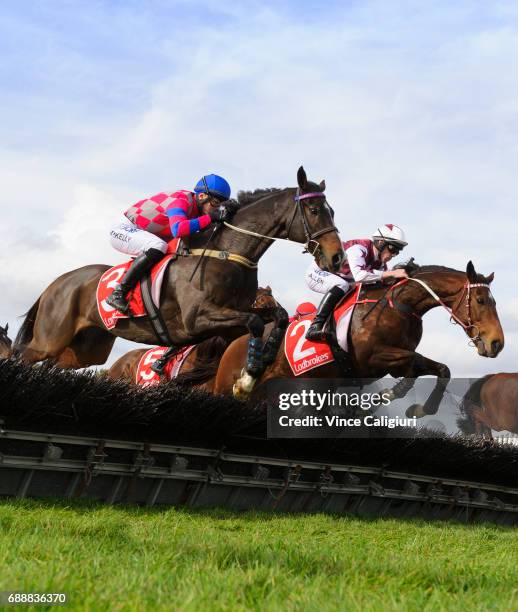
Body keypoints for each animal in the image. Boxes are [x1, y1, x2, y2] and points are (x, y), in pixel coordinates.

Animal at [13, 166, 346, 368]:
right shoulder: (197, 319)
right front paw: (252, 366)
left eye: (331, 210)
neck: (226, 253)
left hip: (83, 350)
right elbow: (253, 322)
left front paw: (265, 354)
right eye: (314, 210)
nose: (336, 258)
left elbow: (277, 316)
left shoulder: (236, 316)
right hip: (48, 340)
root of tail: (57, 283)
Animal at [211, 260, 504, 418]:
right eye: (480, 300)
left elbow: (441, 370)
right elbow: (413, 363)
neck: (400, 305)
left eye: (494, 301)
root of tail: (235, 344)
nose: (497, 343)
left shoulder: (393, 361)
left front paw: (418, 408)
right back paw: (244, 381)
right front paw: (390, 396)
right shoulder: (372, 358)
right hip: (226, 386)